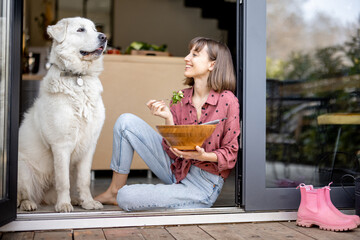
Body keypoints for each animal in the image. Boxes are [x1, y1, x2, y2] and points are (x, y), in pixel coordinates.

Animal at [17, 16, 107, 212]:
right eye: (80, 30)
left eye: (94, 29)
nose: (104, 37)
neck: (78, 78)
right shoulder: (61, 145)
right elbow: (63, 181)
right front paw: (64, 205)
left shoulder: (89, 146)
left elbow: (84, 180)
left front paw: (88, 202)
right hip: (23, 169)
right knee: (23, 193)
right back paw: (28, 204)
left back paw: (76, 199)